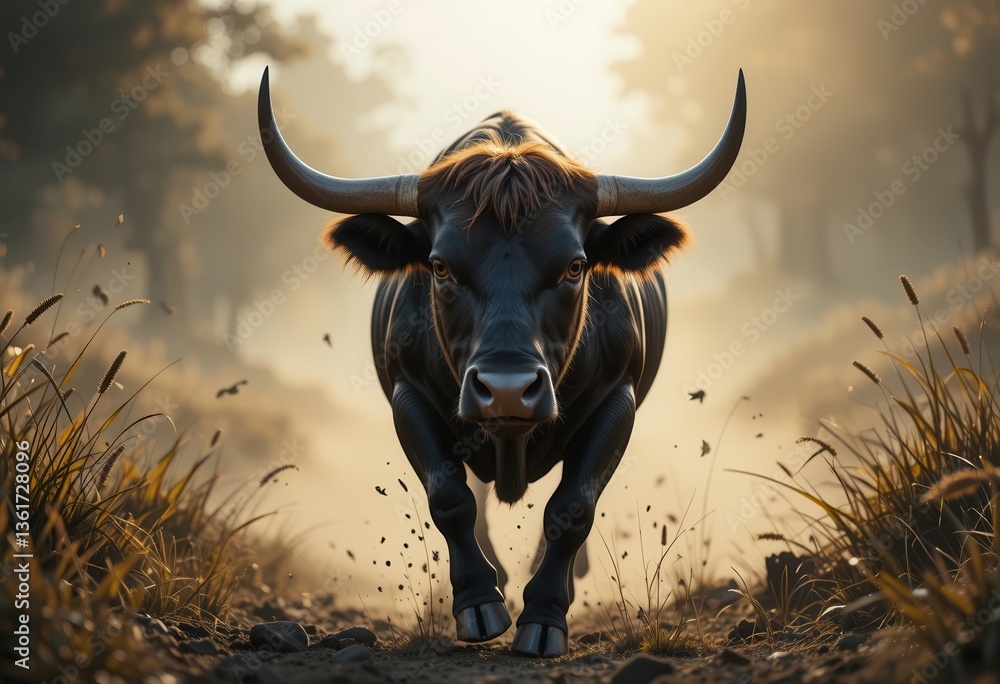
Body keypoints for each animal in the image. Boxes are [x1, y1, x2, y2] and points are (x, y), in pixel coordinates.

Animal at [258, 67, 746, 656]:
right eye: (439, 266)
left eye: (576, 266)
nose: (508, 389)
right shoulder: (407, 394)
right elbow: (450, 498)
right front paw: (479, 604)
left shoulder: (619, 399)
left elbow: (572, 508)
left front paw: (544, 617)